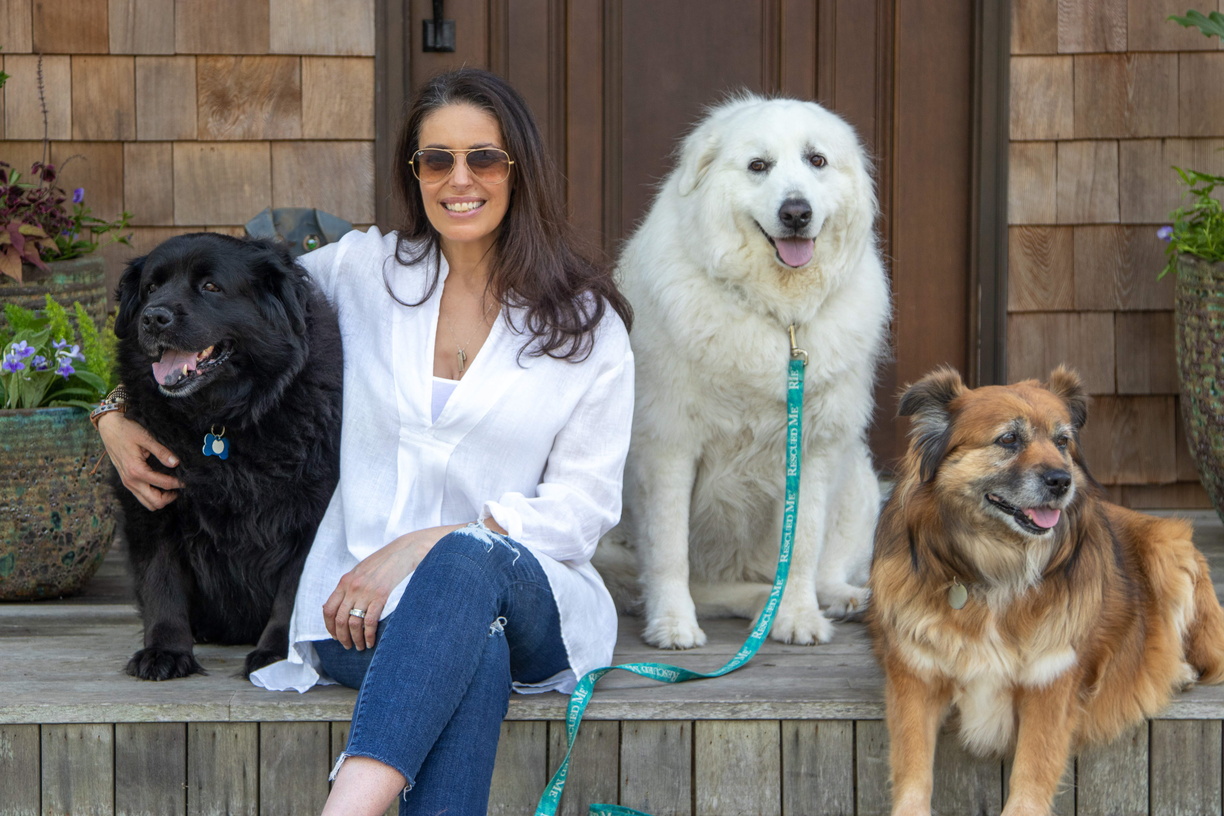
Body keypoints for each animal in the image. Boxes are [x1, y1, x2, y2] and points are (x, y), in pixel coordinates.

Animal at [112, 232, 342, 680]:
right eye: (151, 287)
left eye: (211, 287)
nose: (153, 317)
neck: (220, 422)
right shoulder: (152, 501)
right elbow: (161, 579)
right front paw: (165, 650)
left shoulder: (312, 512)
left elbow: (293, 592)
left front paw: (278, 657)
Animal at [599, 94, 895, 650]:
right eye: (759, 166)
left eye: (817, 160)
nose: (796, 212)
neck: (780, 316)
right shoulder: (669, 445)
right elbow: (669, 551)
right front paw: (673, 625)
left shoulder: (815, 449)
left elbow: (802, 548)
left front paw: (797, 617)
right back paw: (755, 603)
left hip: (860, 482)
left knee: (827, 564)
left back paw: (834, 599)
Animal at [871, 369, 1224, 816]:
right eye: (1008, 439)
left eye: (1062, 441)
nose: (1062, 481)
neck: (1000, 570)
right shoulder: (915, 681)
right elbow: (914, 772)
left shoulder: (1049, 686)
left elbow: (1030, 777)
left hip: (1168, 548)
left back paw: (1177, 672)